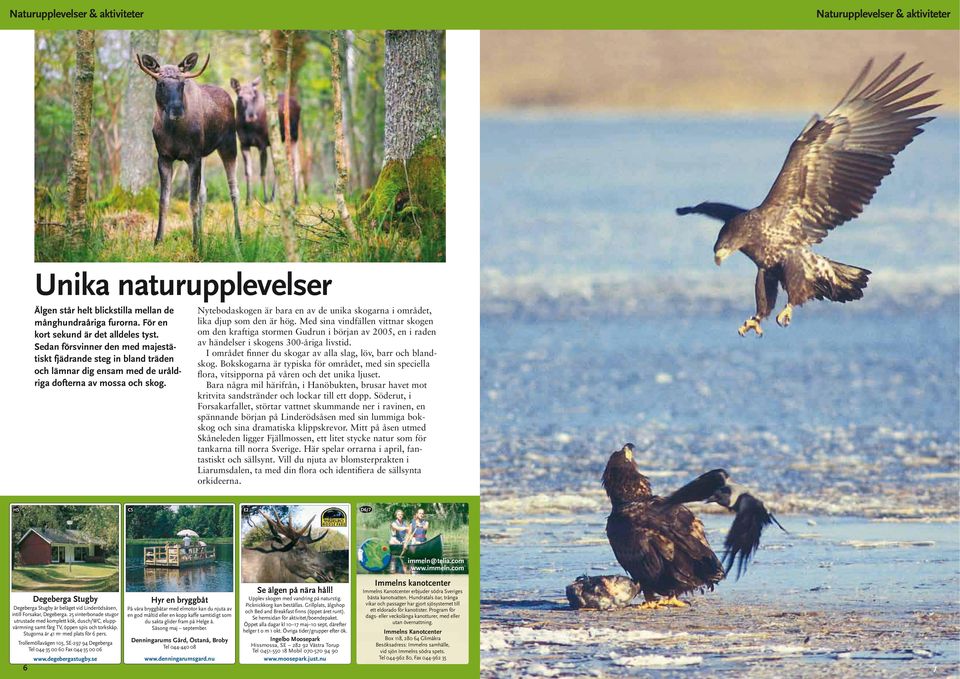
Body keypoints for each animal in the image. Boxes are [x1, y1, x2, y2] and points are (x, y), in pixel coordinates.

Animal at [135, 51, 244, 250]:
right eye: (161, 83)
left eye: (182, 83)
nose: (177, 110)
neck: (173, 131)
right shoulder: (164, 158)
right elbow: (164, 202)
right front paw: (158, 242)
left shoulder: (193, 157)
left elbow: (192, 202)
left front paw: (195, 245)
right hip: (205, 154)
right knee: (204, 194)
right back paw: (204, 235)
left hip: (229, 145)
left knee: (234, 190)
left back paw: (238, 237)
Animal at [231, 76, 302, 205]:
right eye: (240, 96)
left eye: (253, 96)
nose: (251, 116)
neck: (248, 127)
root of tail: (299, 105)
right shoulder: (244, 144)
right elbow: (248, 172)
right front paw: (248, 200)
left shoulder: (262, 144)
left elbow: (262, 172)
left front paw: (265, 198)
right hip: (278, 141)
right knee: (279, 166)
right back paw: (275, 197)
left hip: (293, 136)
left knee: (293, 165)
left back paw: (295, 199)